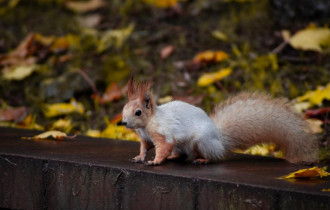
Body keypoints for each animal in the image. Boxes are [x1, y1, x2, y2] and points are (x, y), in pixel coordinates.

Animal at [121, 76, 318, 166]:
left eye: (138, 112)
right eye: (124, 108)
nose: (124, 123)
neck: (147, 124)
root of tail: (219, 141)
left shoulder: (163, 133)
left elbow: (163, 147)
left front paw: (155, 161)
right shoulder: (145, 137)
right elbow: (145, 147)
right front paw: (139, 157)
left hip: (201, 142)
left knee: (213, 157)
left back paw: (203, 160)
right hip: (184, 146)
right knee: (182, 155)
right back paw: (175, 157)